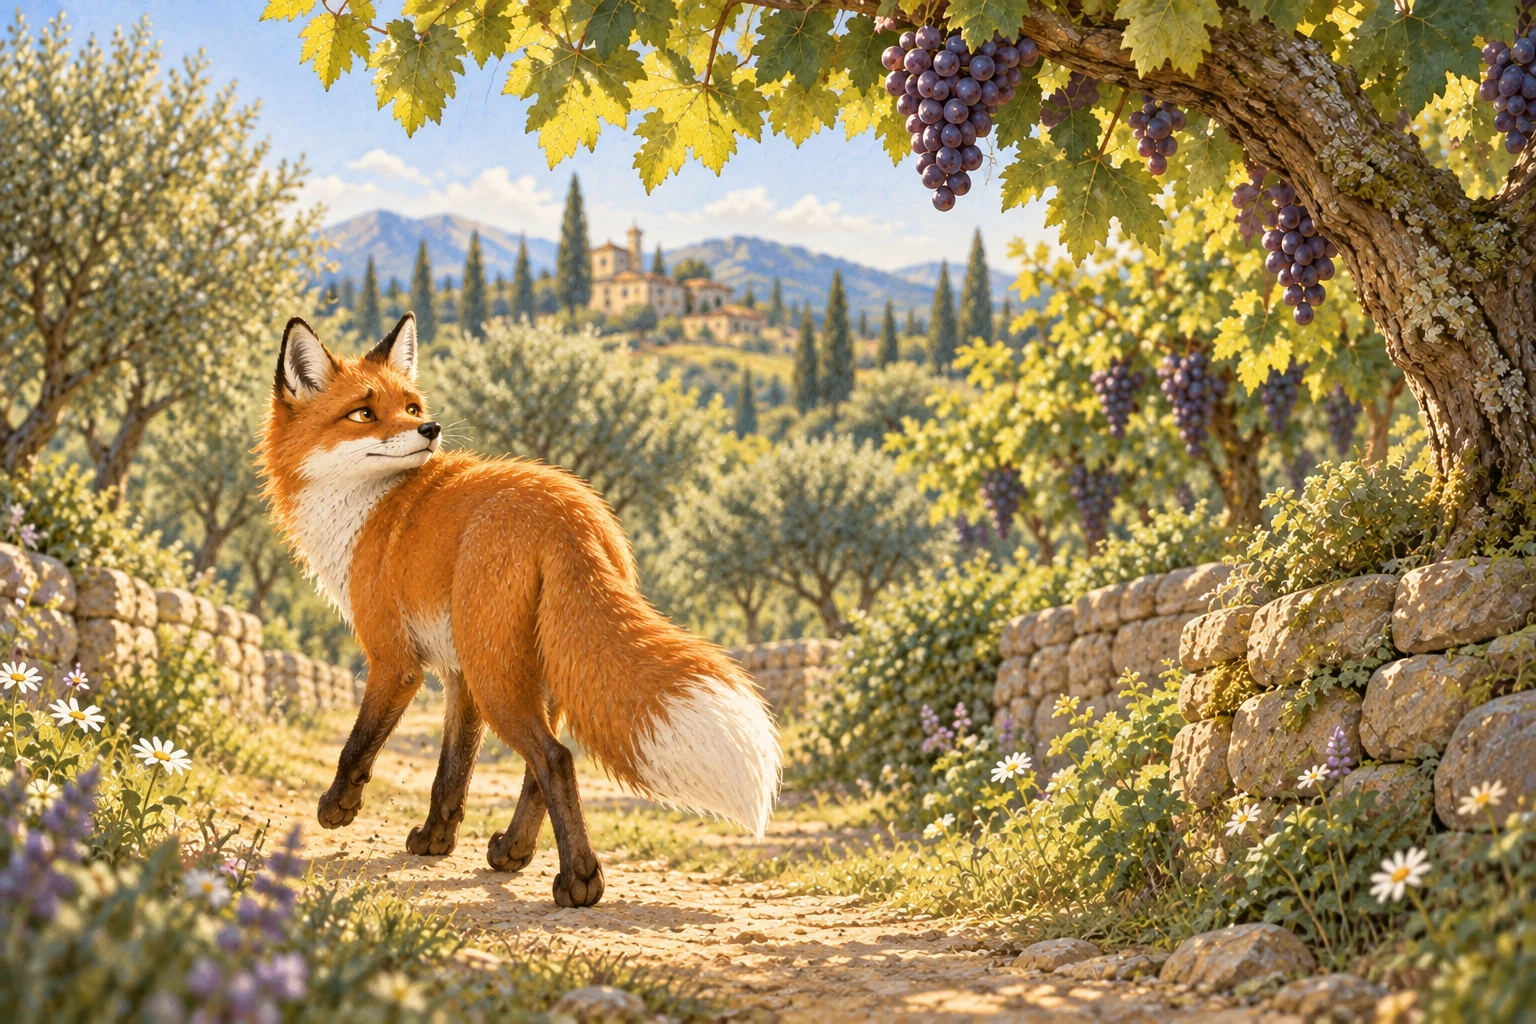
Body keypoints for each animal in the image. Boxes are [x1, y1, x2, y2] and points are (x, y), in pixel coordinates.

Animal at [257, 312, 780, 907]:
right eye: (364, 413)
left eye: (410, 407)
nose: (430, 429)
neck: (368, 509)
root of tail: (572, 511)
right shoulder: (456, 672)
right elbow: (452, 771)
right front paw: (435, 840)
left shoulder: (396, 659)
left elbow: (358, 746)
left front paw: (338, 810)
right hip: (523, 667)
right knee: (542, 764)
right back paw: (513, 852)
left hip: (497, 673)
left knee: (554, 758)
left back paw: (579, 881)